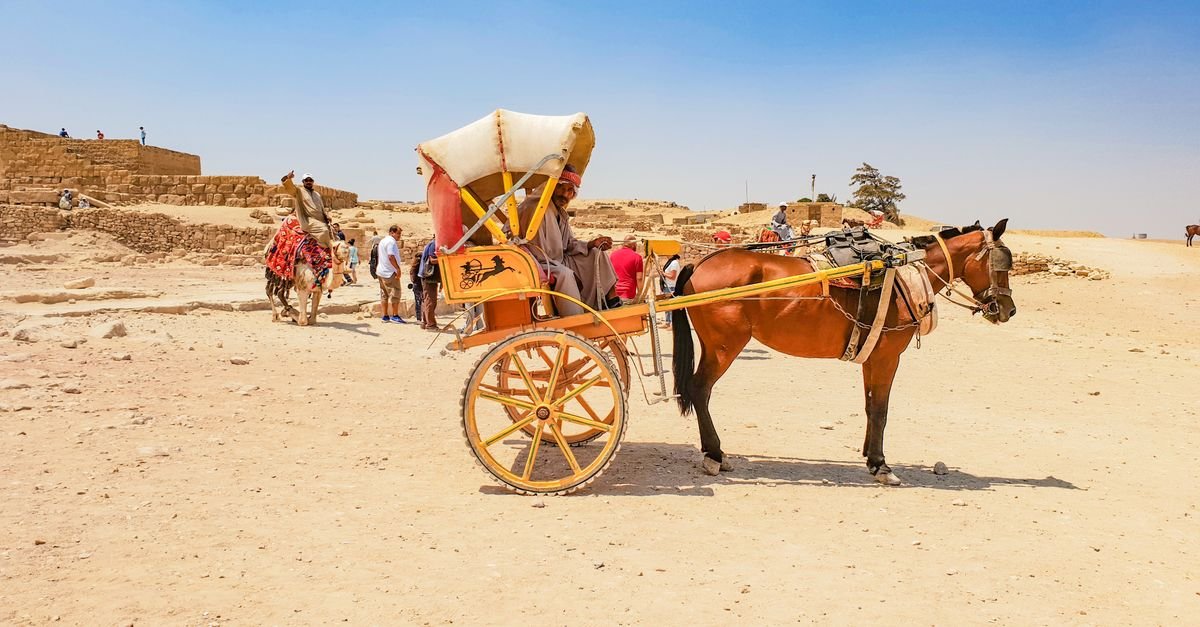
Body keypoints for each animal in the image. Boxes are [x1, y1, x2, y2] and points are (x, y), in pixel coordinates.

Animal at [671, 219, 1016, 485]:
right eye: (1002, 264)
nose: (1007, 310)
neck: (901, 275)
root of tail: (698, 263)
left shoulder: (872, 356)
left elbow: (870, 407)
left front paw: (870, 457)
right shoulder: (888, 357)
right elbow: (881, 410)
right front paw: (881, 465)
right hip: (725, 346)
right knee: (699, 389)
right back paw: (714, 453)